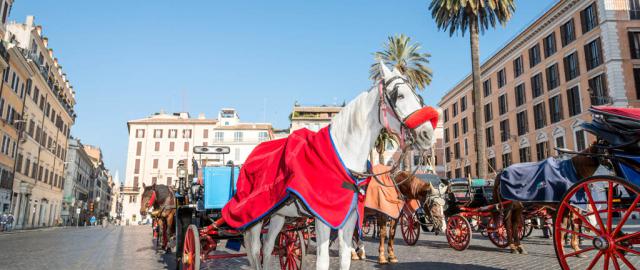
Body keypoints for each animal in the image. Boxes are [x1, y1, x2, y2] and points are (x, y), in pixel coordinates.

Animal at [242, 62, 438, 268]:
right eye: (400, 95)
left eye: (418, 98)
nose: (428, 134)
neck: (342, 158)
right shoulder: (323, 218)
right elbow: (323, 261)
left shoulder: (349, 216)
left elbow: (345, 257)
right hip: (255, 218)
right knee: (255, 250)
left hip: (279, 216)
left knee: (268, 247)